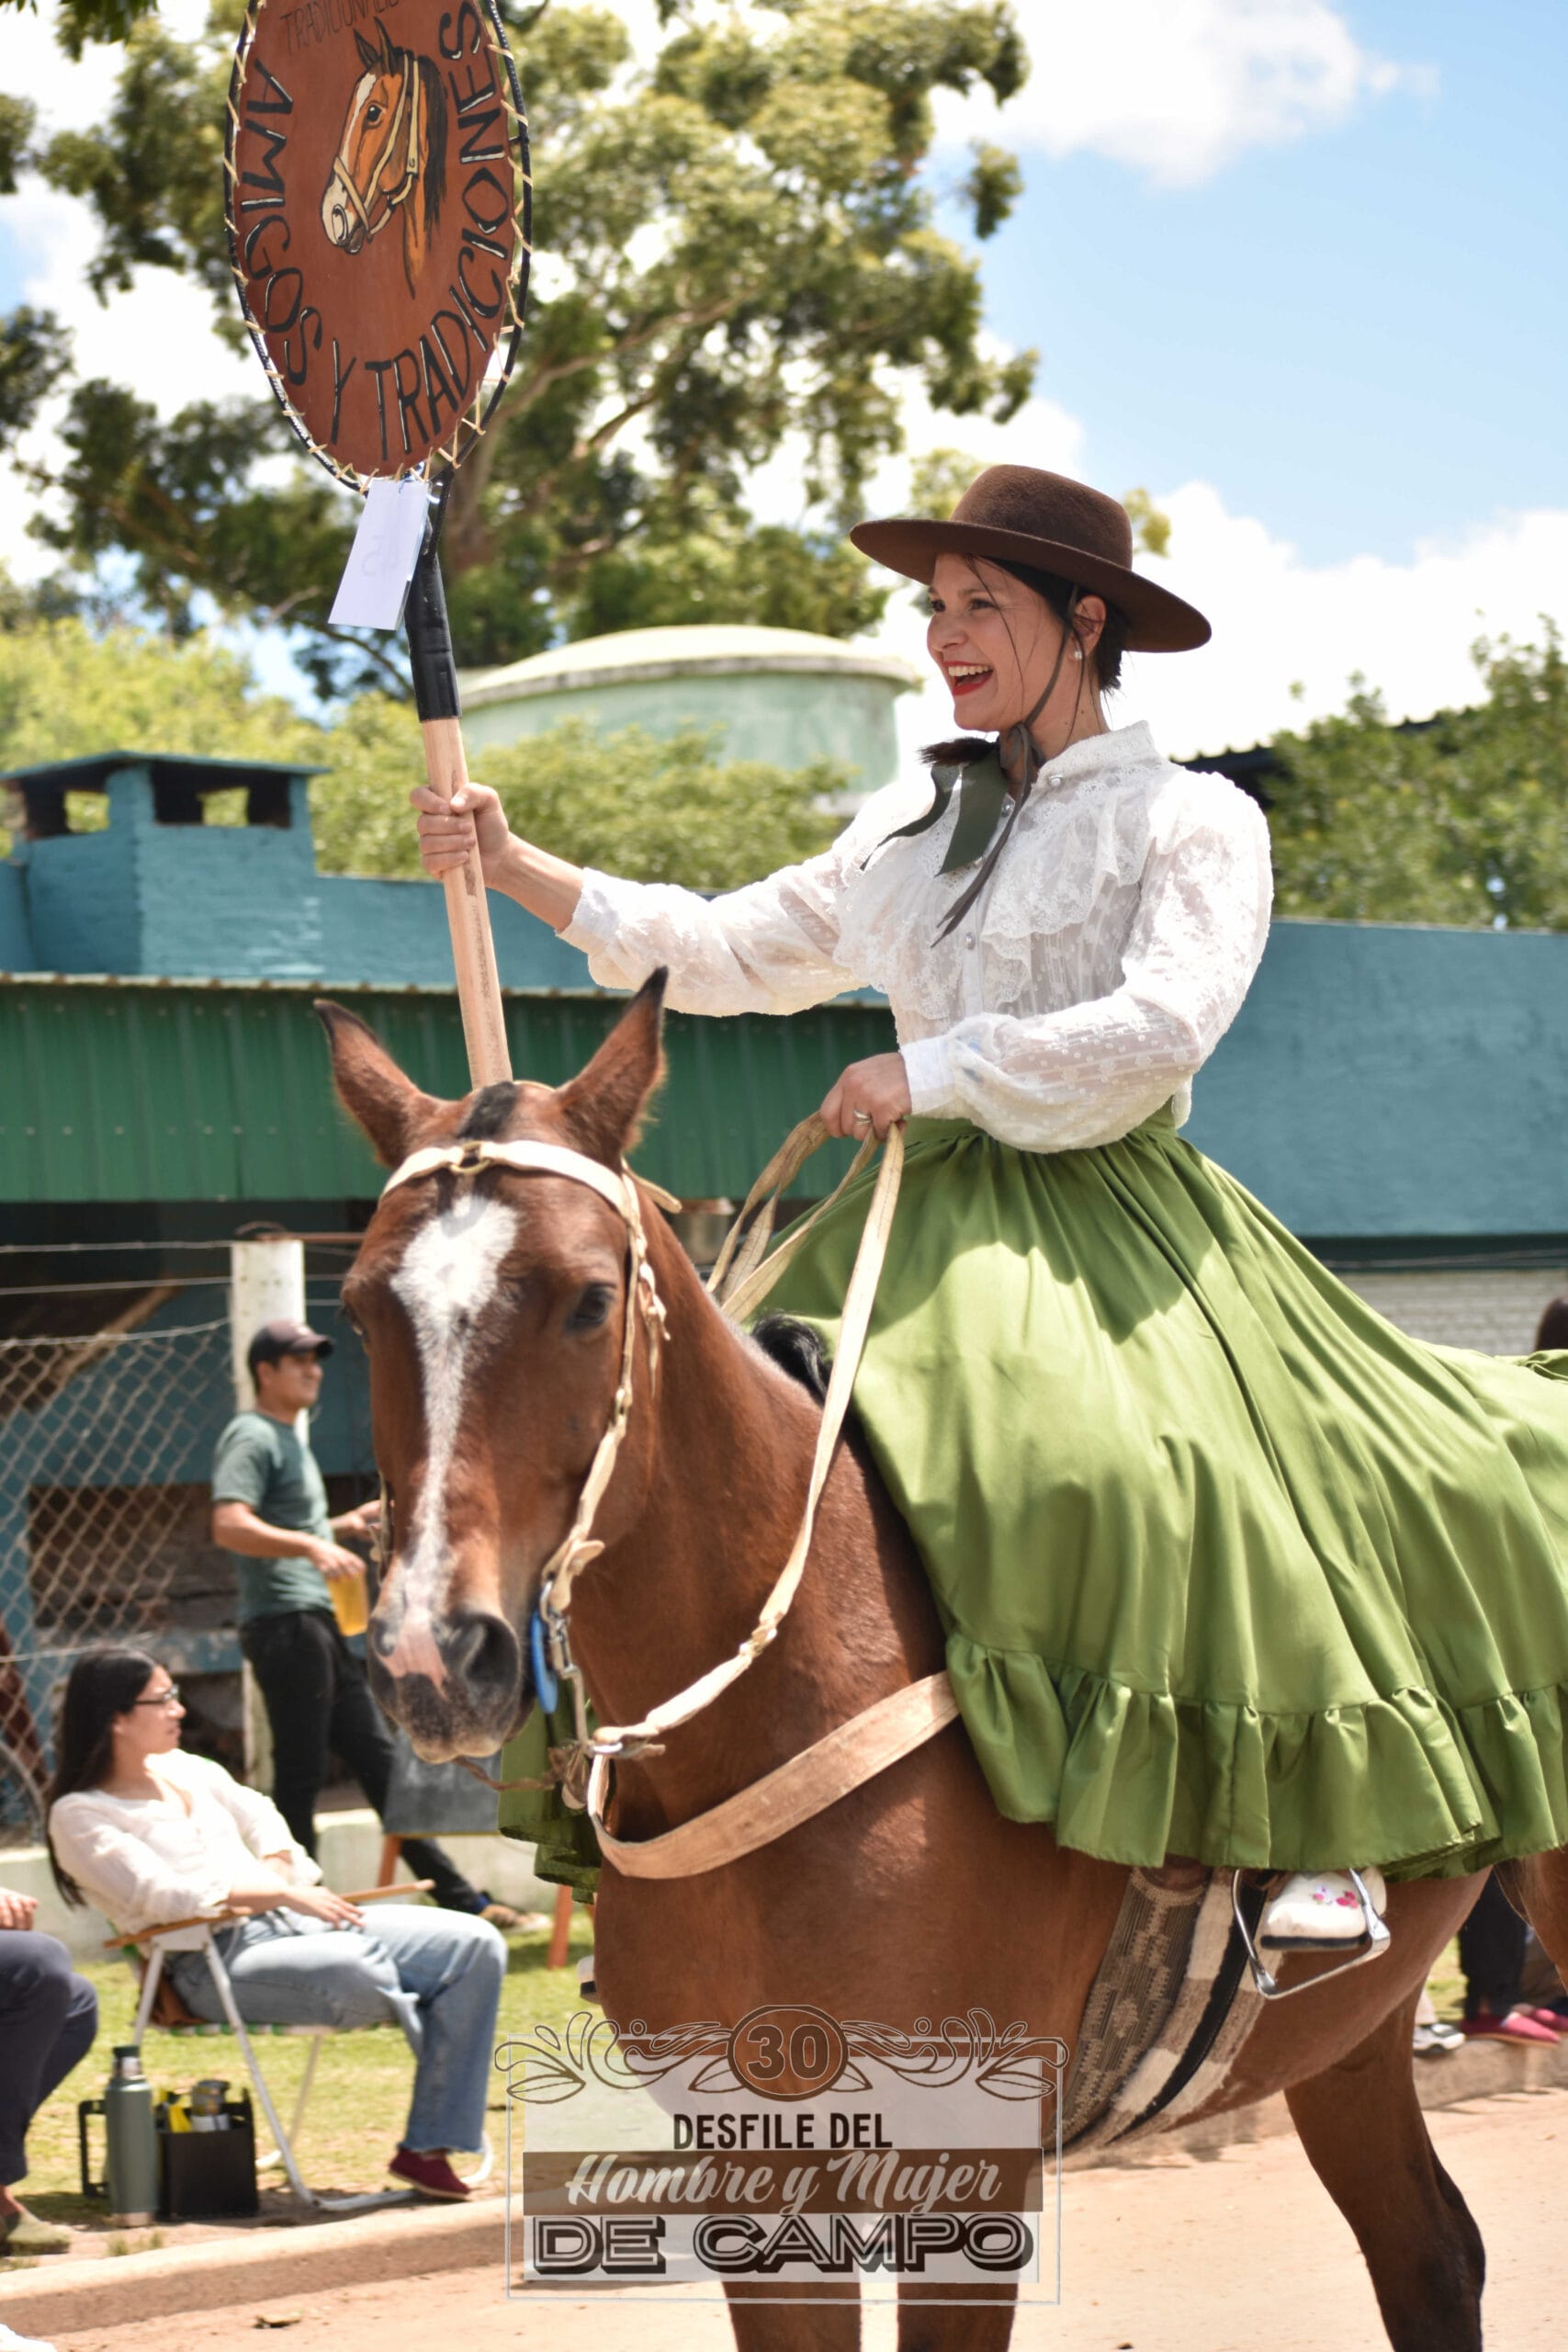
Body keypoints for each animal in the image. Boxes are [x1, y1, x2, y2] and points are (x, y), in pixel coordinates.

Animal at [318, 977, 1568, 2351]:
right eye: (361, 1308)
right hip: (1346, 2033)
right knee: (1428, 2254)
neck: (786, 1700)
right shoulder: (753, 2160)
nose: (434, 1656)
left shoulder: (968, 2159)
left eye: (588, 1299)